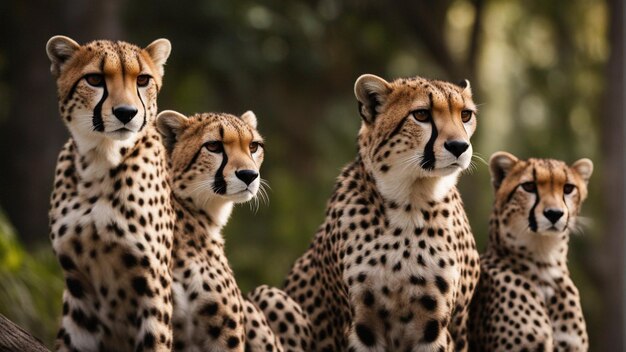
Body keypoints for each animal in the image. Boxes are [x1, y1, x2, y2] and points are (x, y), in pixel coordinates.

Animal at [45, 36, 174, 352]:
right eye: (94, 79)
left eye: (142, 80)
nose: (126, 112)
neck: (100, 160)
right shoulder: (78, 285)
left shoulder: (154, 283)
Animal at [282, 73, 478, 350]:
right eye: (421, 115)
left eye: (465, 115)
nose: (459, 146)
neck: (410, 204)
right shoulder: (362, 326)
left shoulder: (434, 327)